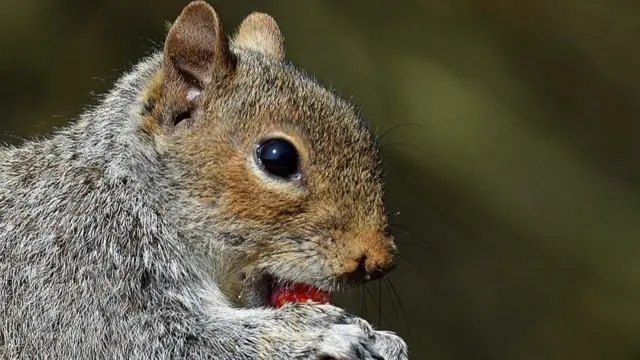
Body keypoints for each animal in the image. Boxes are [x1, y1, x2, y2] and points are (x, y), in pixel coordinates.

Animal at [0, 1, 410, 358]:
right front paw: (311, 332)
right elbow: (169, 341)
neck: (131, 191)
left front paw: (384, 340)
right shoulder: (83, 279)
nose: (379, 261)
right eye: (277, 157)